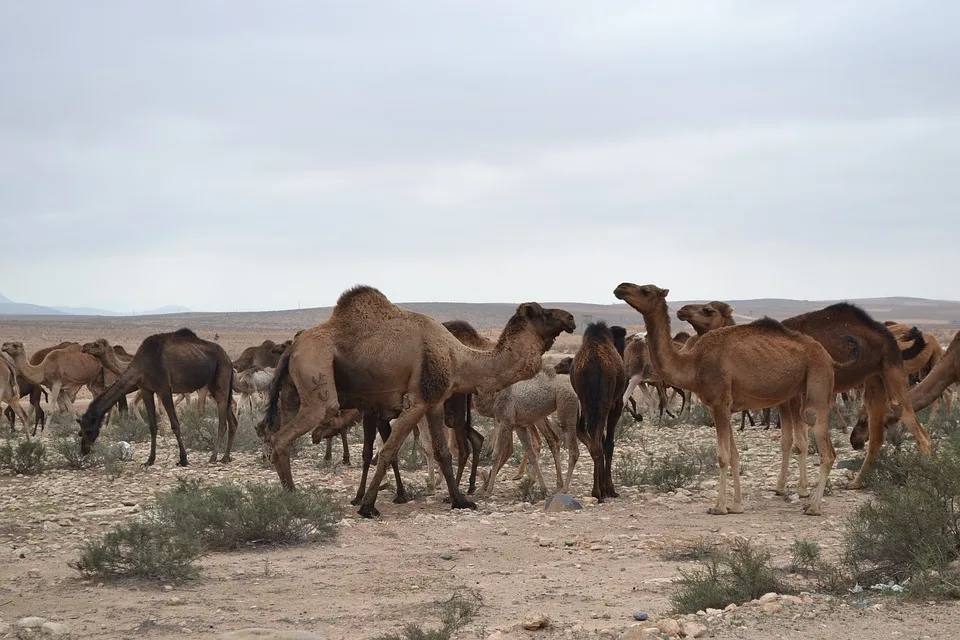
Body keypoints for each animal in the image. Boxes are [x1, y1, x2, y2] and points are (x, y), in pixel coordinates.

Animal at [77, 330, 238, 464]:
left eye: (88, 430)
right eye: (80, 431)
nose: (84, 449)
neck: (141, 364)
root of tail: (229, 360)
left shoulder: (164, 389)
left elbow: (175, 425)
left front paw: (183, 459)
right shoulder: (146, 390)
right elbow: (153, 426)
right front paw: (150, 460)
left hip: (221, 375)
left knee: (222, 422)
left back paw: (213, 457)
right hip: (215, 384)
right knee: (233, 421)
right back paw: (225, 457)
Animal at [258, 288, 572, 516]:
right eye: (545, 312)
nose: (570, 318)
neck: (457, 356)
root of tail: (293, 349)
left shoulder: (434, 403)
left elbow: (443, 452)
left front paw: (460, 500)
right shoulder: (416, 401)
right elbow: (387, 451)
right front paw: (367, 505)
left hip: (291, 392)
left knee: (277, 432)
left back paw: (290, 493)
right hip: (317, 378)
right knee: (284, 435)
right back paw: (291, 497)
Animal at [568, 322, 628, 502]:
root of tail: (593, 364)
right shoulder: (617, 404)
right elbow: (609, 443)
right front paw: (610, 488)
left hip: (586, 402)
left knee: (589, 438)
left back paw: (597, 490)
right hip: (603, 404)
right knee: (599, 443)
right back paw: (599, 491)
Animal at [616, 284, 856, 516]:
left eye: (645, 290)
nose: (620, 287)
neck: (693, 363)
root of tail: (829, 357)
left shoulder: (720, 405)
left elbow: (723, 456)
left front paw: (719, 507)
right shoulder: (719, 407)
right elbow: (734, 455)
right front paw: (737, 505)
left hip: (817, 384)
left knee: (827, 450)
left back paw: (813, 506)